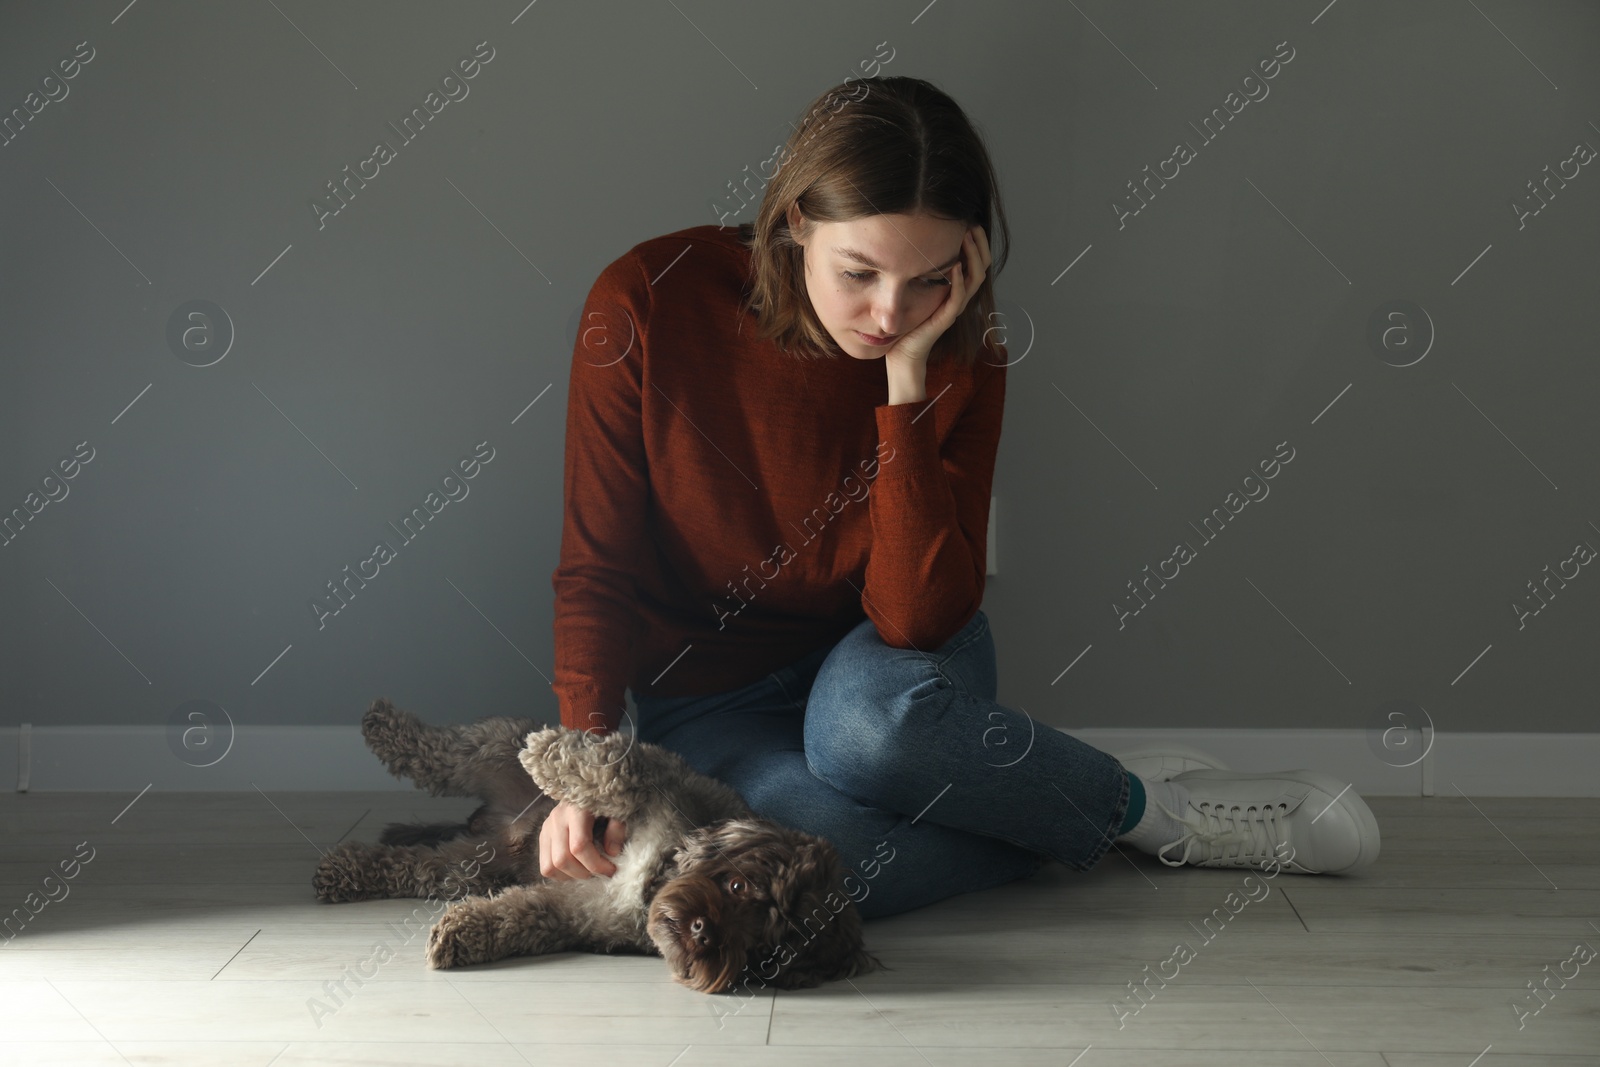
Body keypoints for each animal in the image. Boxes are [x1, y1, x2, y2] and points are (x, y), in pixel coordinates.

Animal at [307, 700, 883, 991]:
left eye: (768, 951)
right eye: (739, 885)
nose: (702, 933)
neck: (656, 876)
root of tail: (496, 822)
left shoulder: (575, 910)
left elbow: (516, 918)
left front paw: (462, 933)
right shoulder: (654, 780)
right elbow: (616, 771)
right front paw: (548, 752)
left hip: (471, 866)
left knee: (411, 865)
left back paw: (346, 871)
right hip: (488, 748)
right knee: (438, 752)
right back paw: (385, 727)